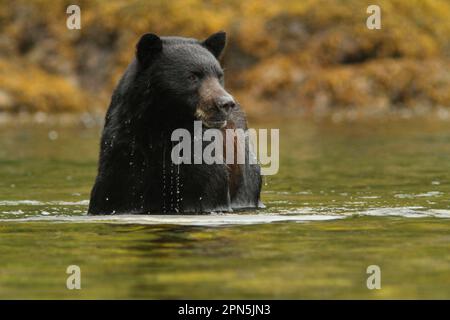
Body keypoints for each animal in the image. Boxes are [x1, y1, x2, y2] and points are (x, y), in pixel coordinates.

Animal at [88, 31, 262, 215]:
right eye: (192, 76)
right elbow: (110, 196)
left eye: (219, 76)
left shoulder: (200, 160)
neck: (163, 127)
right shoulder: (121, 157)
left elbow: (207, 191)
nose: (226, 103)